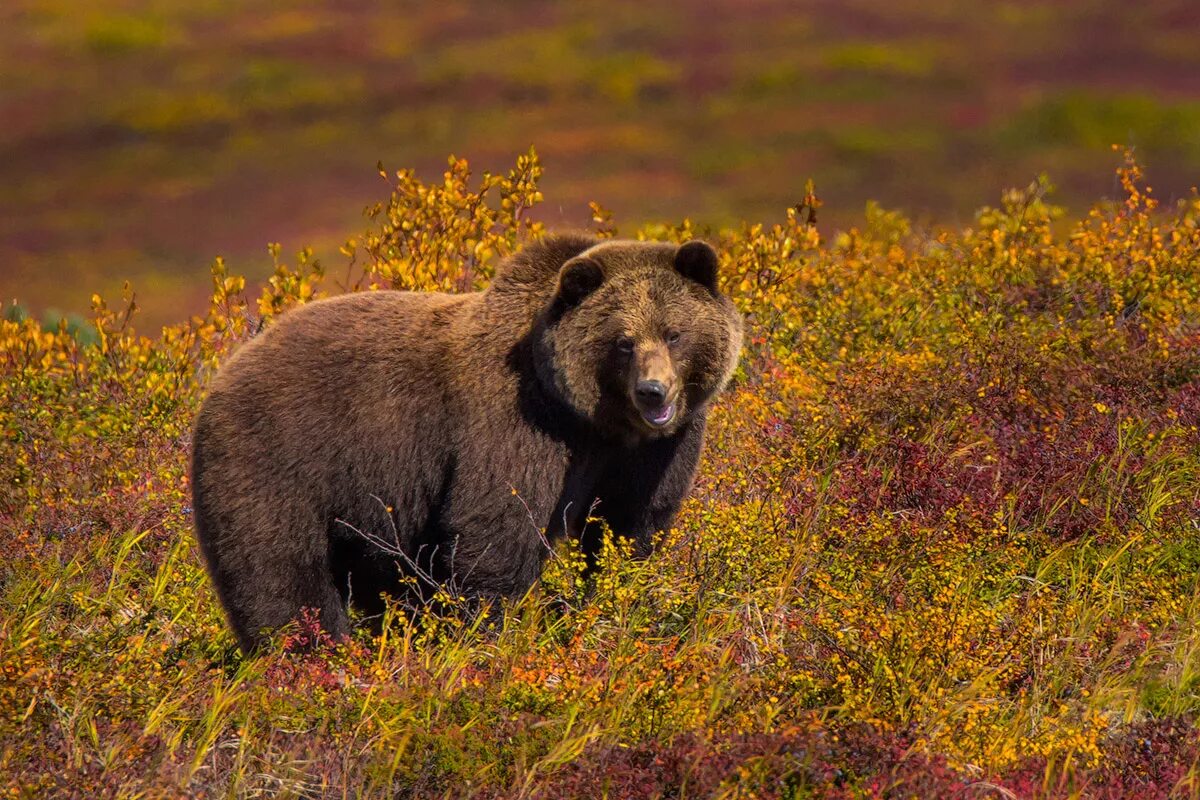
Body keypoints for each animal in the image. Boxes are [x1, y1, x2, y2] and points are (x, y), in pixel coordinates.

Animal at [189, 231, 739, 652]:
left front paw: (612, 596)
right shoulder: (515, 428)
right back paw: (309, 656)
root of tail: (222, 374)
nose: (654, 391)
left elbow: (630, 527)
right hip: (277, 460)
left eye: (674, 333)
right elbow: (495, 530)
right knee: (279, 573)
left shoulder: (655, 451)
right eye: (622, 342)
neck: (591, 419)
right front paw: (484, 632)